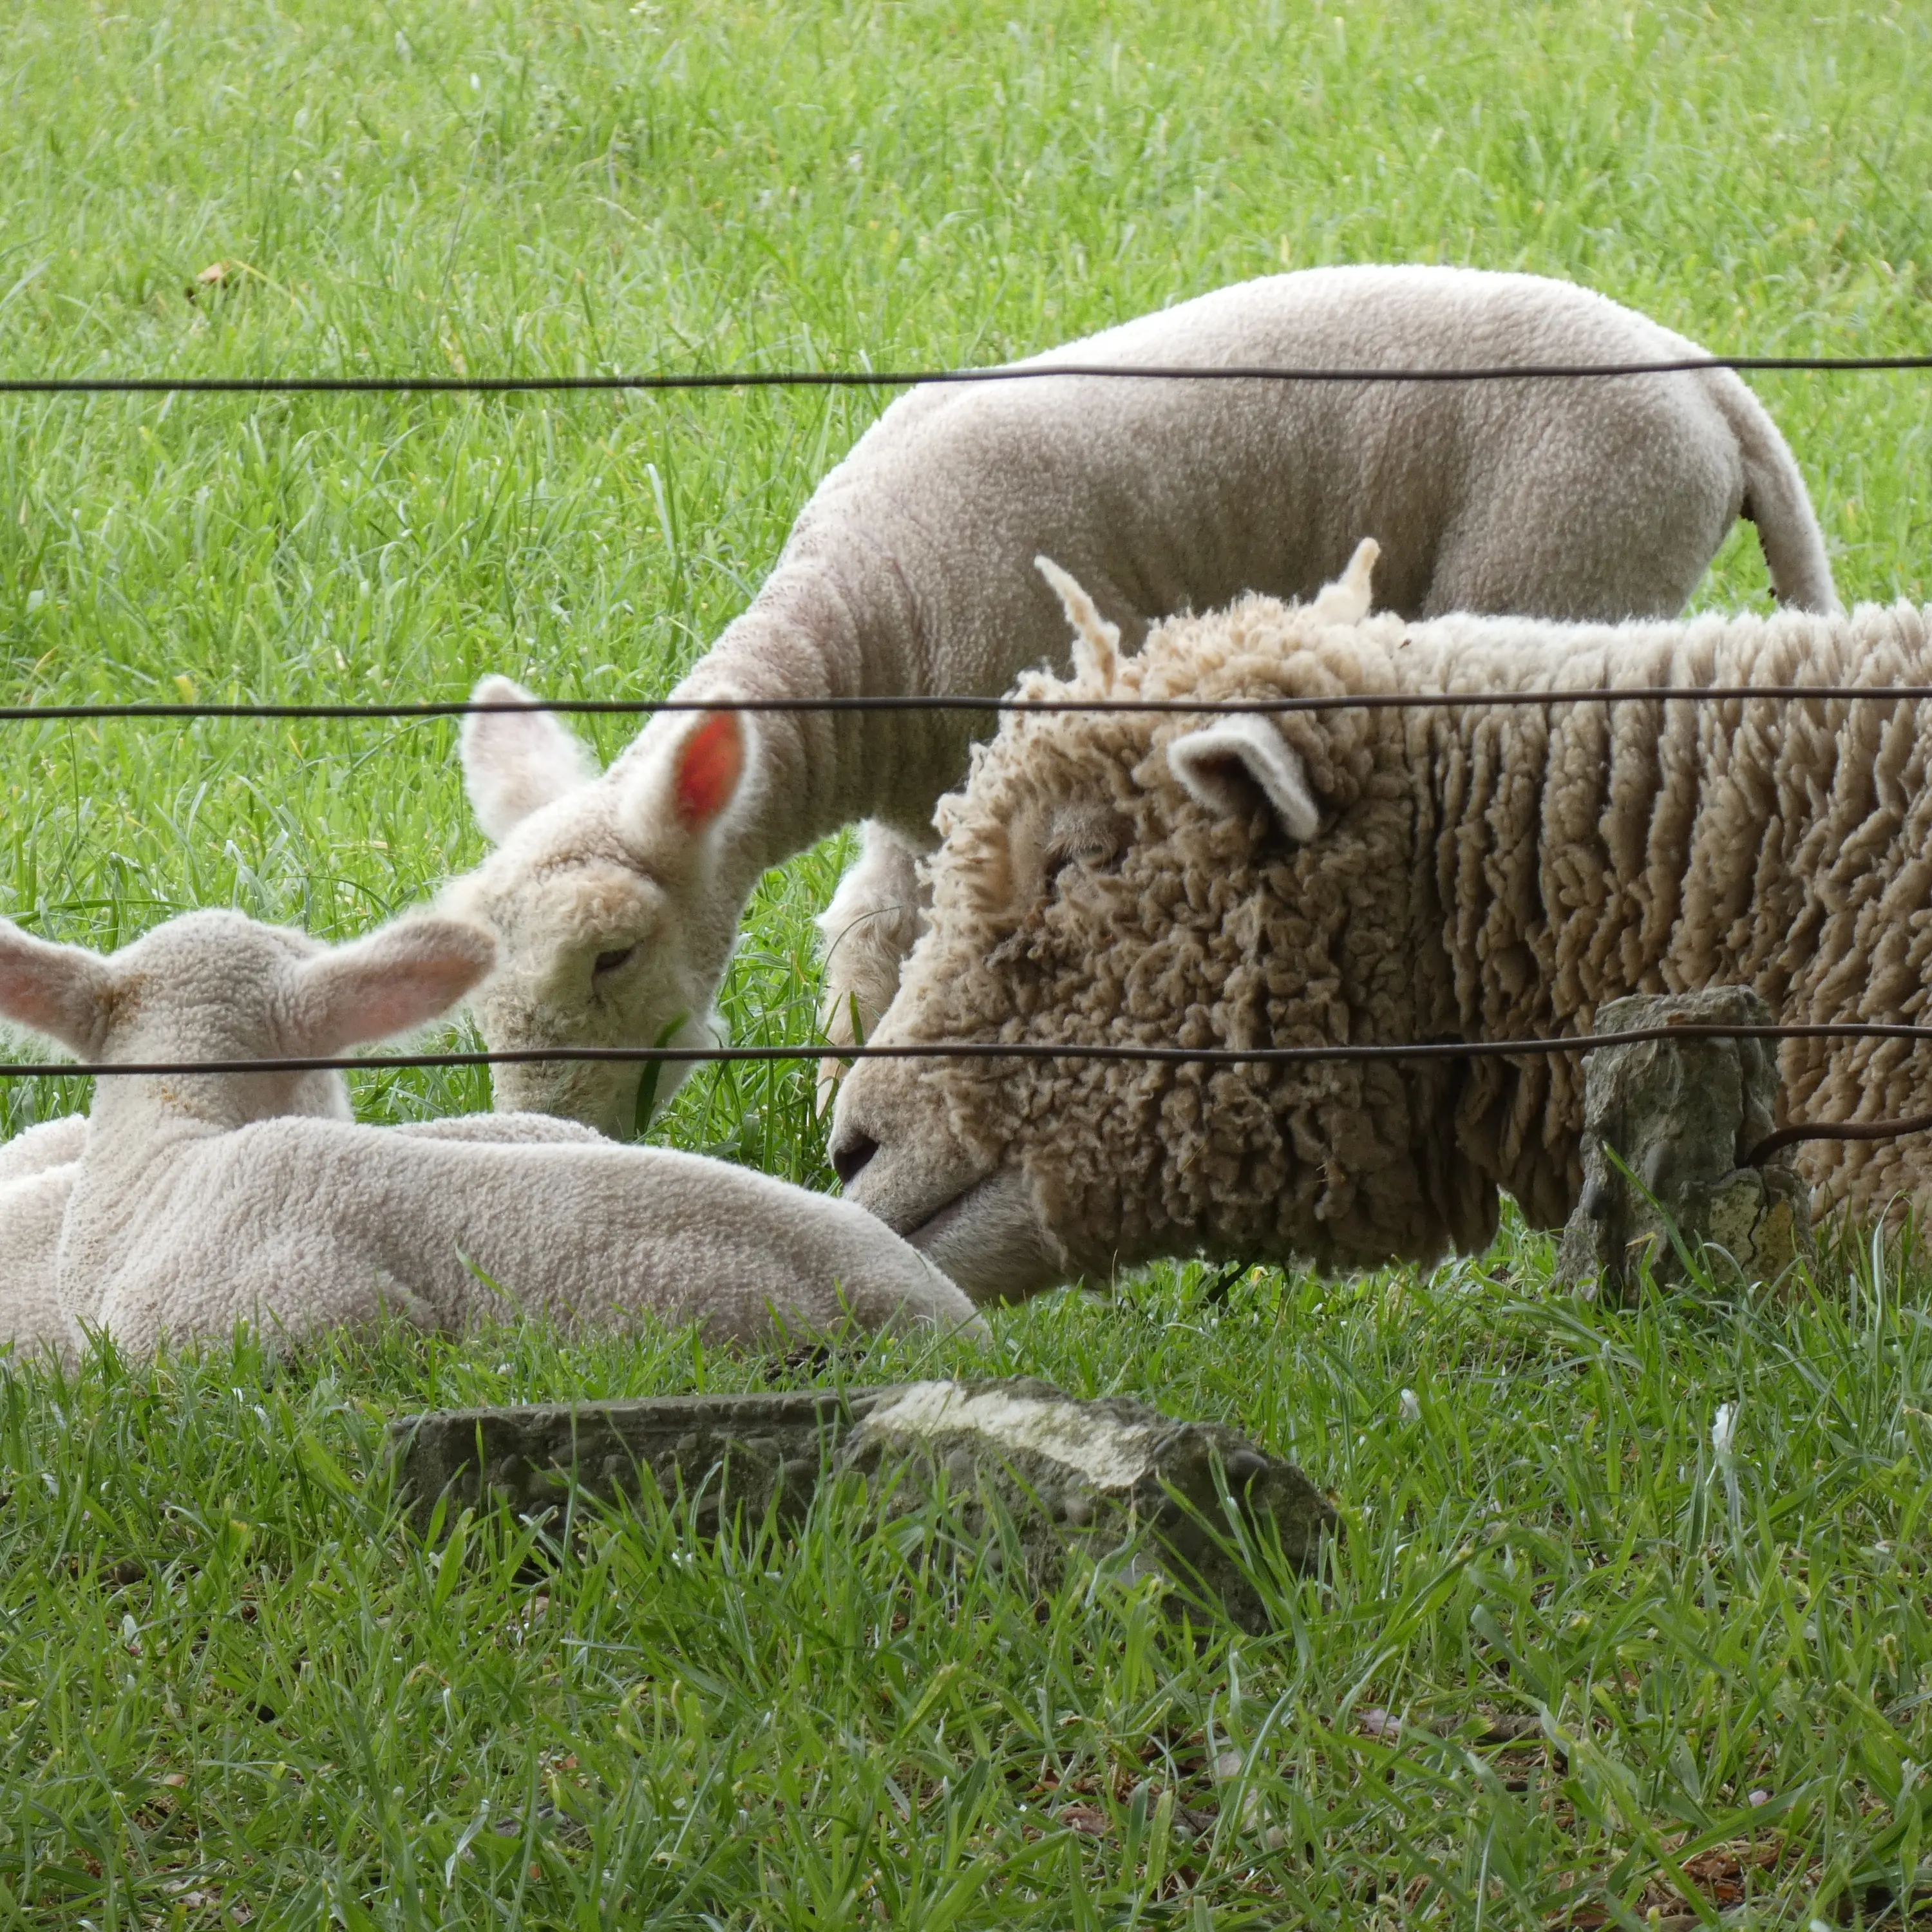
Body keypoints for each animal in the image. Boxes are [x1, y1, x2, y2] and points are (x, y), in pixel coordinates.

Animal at [444, 265, 1838, 1138]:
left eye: (613, 955)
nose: (545, 1140)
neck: (857, 635)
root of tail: (1711, 387)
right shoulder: (921, 790)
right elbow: (873, 932)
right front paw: (839, 1099)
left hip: (1570, 553)